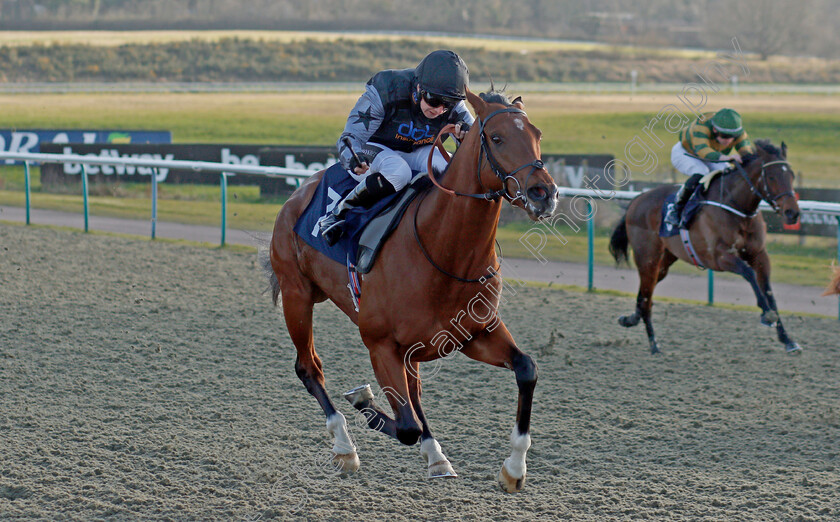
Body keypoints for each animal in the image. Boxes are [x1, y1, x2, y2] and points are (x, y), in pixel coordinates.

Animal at [264, 87, 556, 490]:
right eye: (497, 138)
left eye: (537, 134)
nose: (544, 192)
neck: (444, 251)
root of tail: (299, 193)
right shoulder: (381, 344)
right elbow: (405, 426)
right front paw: (363, 403)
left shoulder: (474, 333)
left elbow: (526, 368)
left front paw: (514, 469)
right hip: (297, 295)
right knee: (309, 368)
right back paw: (345, 446)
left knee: (413, 395)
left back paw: (435, 456)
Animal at [612, 139, 800, 354]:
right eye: (771, 176)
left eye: (791, 175)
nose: (792, 213)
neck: (737, 207)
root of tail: (637, 199)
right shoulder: (720, 257)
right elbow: (749, 273)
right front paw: (766, 314)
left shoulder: (759, 255)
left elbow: (769, 291)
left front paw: (787, 339)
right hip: (647, 257)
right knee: (646, 297)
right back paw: (654, 345)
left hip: (665, 260)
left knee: (645, 293)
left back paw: (630, 319)